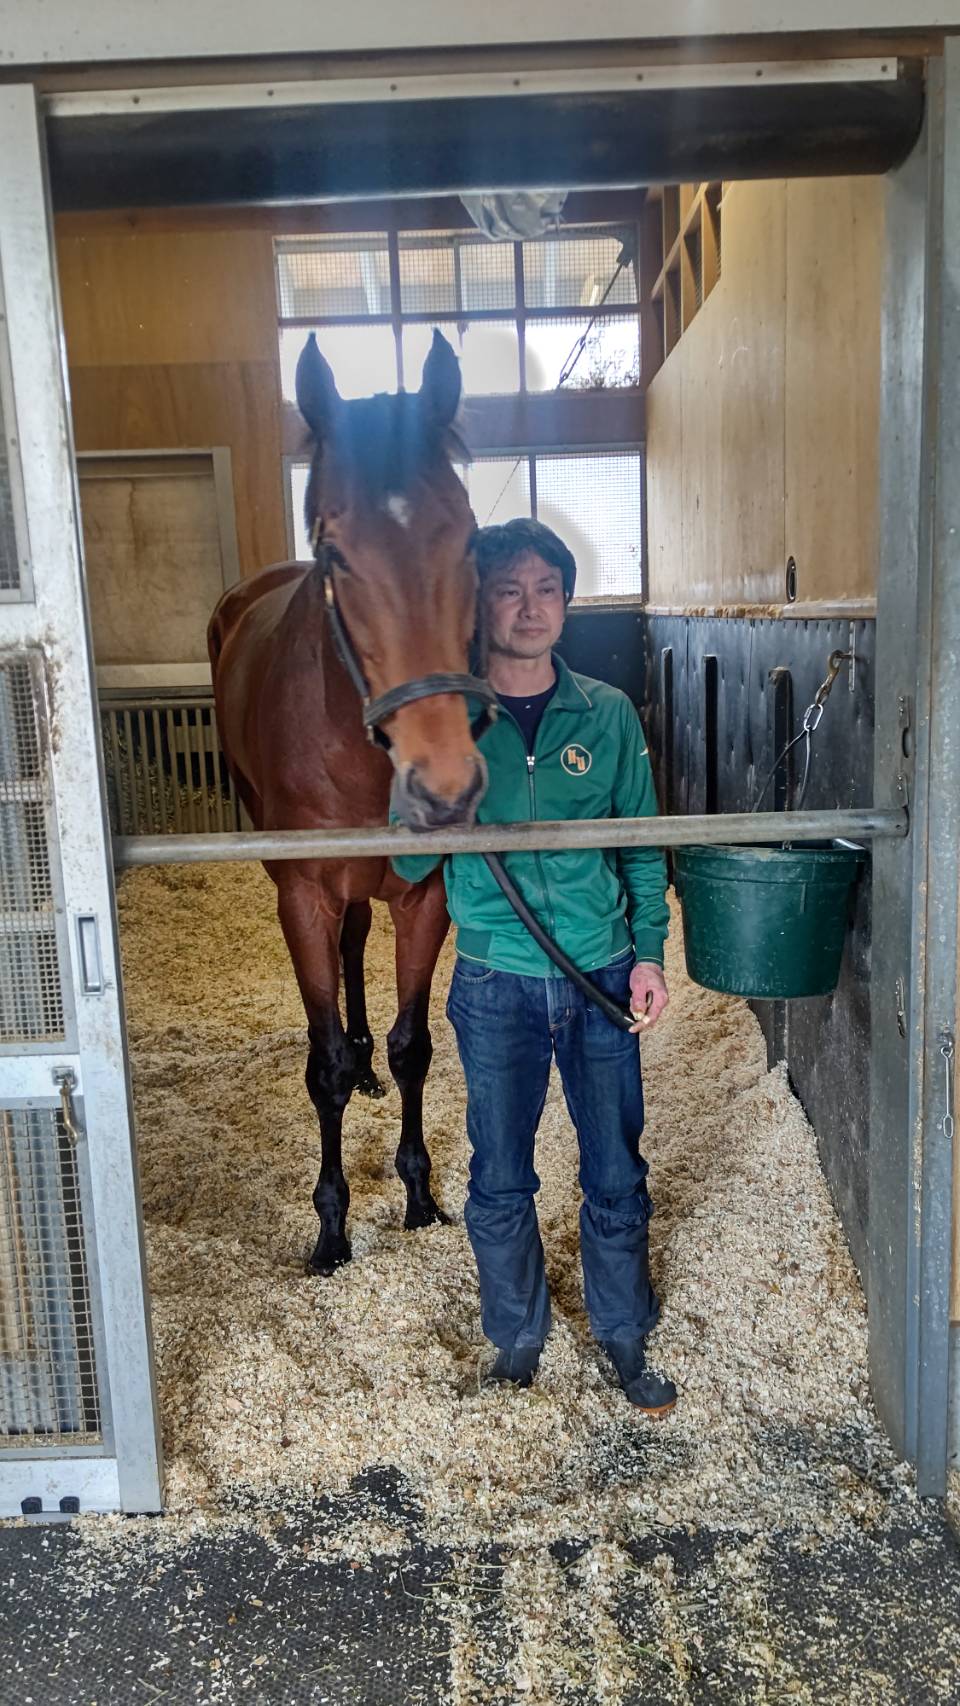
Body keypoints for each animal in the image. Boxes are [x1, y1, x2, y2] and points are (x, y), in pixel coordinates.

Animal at [208, 331, 493, 1276]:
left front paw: (419, 1194)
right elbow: (320, 1065)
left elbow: (414, 1047)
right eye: (336, 555)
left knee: (358, 947)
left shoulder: (424, 895)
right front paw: (331, 1228)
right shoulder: (303, 894)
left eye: (470, 539)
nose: (446, 785)